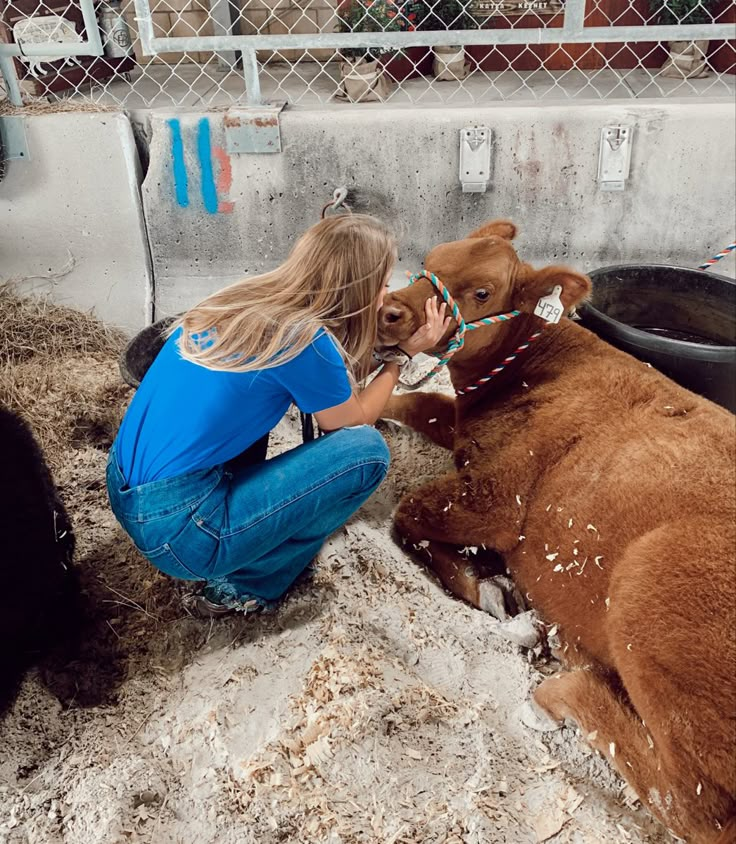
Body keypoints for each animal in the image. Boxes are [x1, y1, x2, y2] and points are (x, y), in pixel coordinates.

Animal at [380, 219, 736, 844]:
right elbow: (419, 401)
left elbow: (411, 510)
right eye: (429, 262)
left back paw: (560, 687)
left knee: (697, 808)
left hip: (651, 587)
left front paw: (489, 591)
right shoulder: (465, 432)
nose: (392, 311)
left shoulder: (497, 498)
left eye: (482, 292)